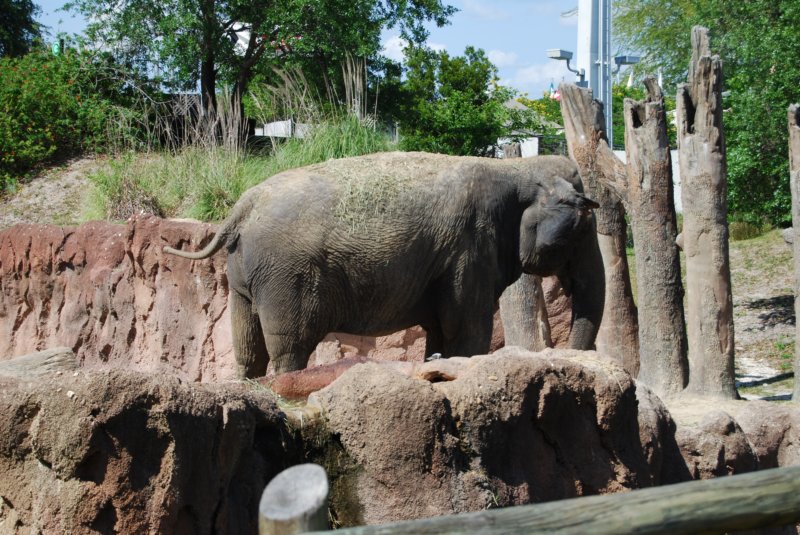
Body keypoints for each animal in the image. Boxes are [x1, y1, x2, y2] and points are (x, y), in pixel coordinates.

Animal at [164, 151, 605, 378]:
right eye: (582, 225)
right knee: (288, 345)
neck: (517, 168)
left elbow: (441, 331)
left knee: (247, 344)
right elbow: (468, 331)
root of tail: (242, 205)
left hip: (244, 272)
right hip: (285, 275)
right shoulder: (470, 248)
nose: (570, 357)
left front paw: (437, 367)